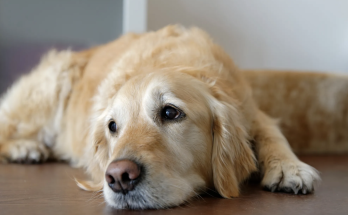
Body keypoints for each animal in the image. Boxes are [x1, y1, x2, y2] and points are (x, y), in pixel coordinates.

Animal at [0, 25, 324, 208]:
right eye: (113, 126)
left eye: (170, 112)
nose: (119, 177)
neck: (177, 62)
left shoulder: (252, 112)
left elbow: (273, 133)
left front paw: (289, 168)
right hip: (51, 85)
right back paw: (25, 148)